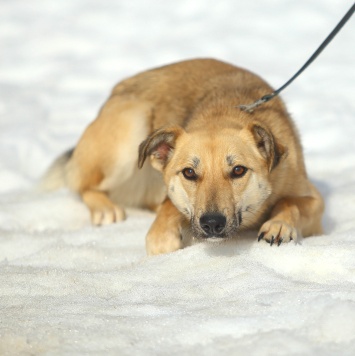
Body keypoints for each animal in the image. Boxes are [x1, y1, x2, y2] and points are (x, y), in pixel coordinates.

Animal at [42, 57, 326, 253]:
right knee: (83, 184)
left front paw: (279, 224)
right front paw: (166, 236)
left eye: (238, 170)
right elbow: (163, 223)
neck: (223, 113)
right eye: (189, 172)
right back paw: (105, 208)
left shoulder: (314, 201)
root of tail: (117, 90)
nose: (212, 223)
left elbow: (290, 202)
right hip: (131, 126)